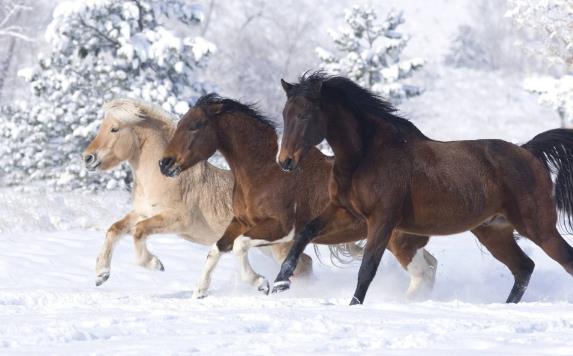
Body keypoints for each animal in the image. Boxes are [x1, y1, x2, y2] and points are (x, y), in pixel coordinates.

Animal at [82, 98, 310, 294]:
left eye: (114, 128)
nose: (87, 158)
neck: (163, 178)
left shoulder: (176, 220)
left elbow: (138, 231)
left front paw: (155, 264)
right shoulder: (142, 212)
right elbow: (115, 229)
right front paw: (101, 274)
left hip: (277, 245)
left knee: (304, 265)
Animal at [159, 94, 436, 298]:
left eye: (195, 126)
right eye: (180, 123)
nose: (164, 163)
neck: (265, 172)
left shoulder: (281, 228)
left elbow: (239, 246)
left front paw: (261, 283)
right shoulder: (241, 222)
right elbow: (216, 249)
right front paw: (200, 291)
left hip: (398, 241)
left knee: (422, 273)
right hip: (404, 241)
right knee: (429, 267)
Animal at [272, 71, 572, 304]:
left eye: (304, 114)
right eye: (285, 114)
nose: (285, 161)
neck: (365, 155)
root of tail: (528, 152)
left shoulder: (382, 220)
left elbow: (367, 268)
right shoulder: (344, 212)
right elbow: (304, 234)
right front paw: (279, 284)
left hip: (538, 228)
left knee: (561, 260)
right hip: (494, 231)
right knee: (523, 268)